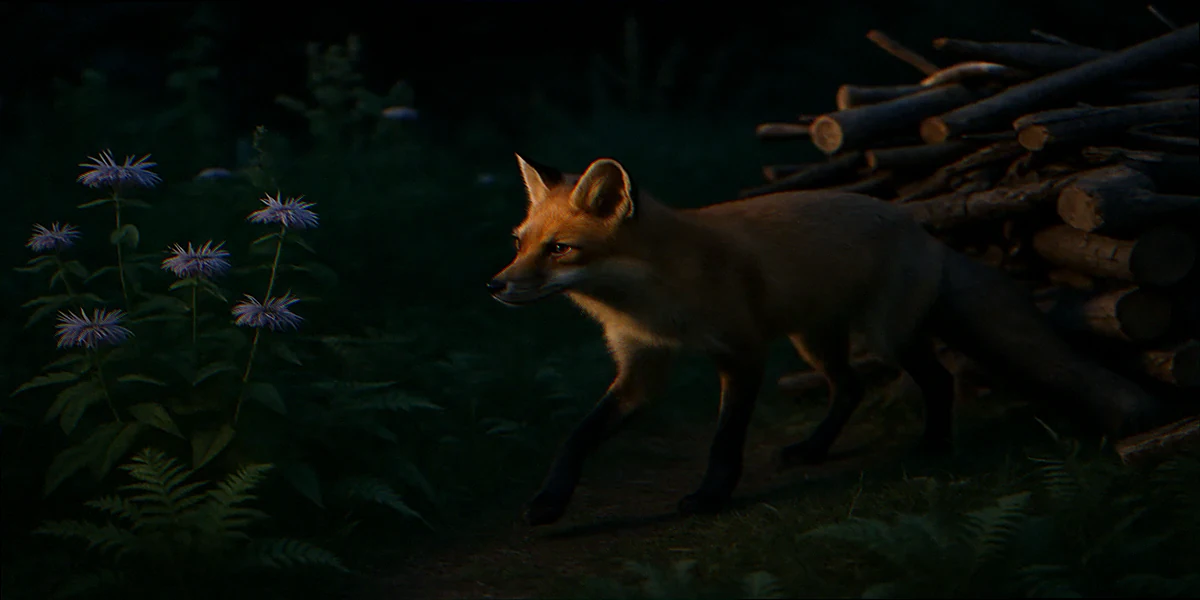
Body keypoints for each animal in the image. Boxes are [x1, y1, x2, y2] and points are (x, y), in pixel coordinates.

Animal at [488, 154, 1162, 527]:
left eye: (561, 249)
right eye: (519, 242)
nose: (495, 286)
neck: (653, 303)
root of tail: (922, 230)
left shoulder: (742, 353)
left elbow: (725, 440)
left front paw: (710, 496)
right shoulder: (640, 369)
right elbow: (578, 437)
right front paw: (549, 503)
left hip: (886, 336)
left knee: (934, 378)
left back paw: (934, 445)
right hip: (814, 338)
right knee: (850, 387)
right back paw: (814, 448)